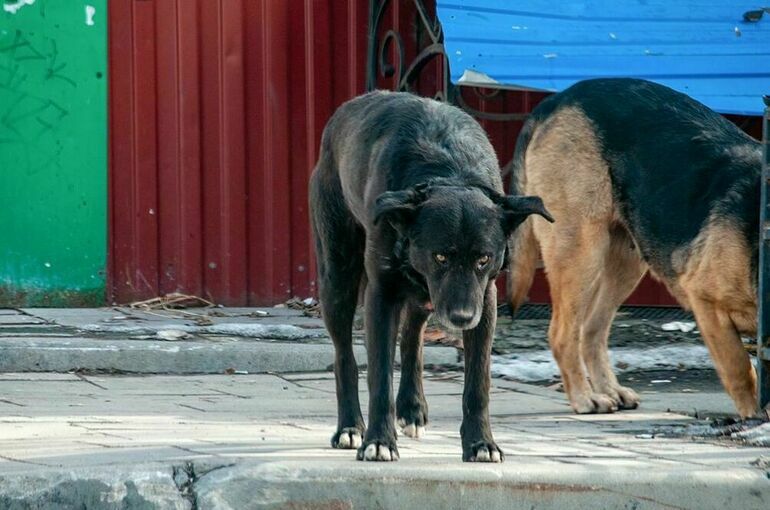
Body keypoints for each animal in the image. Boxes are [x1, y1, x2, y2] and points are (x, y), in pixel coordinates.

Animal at [308, 91, 552, 462]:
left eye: (483, 259)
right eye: (440, 256)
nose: (462, 318)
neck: (449, 172)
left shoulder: (485, 299)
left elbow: (478, 384)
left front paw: (481, 443)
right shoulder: (382, 294)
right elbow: (379, 377)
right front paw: (379, 441)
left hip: (424, 297)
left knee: (412, 338)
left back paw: (411, 408)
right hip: (338, 275)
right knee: (344, 356)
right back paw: (350, 427)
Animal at [508, 76, 760, 418]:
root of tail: (557, 99)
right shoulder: (707, 302)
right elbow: (741, 370)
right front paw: (756, 417)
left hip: (626, 261)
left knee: (591, 330)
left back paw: (608, 389)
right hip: (582, 250)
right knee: (563, 334)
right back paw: (585, 398)